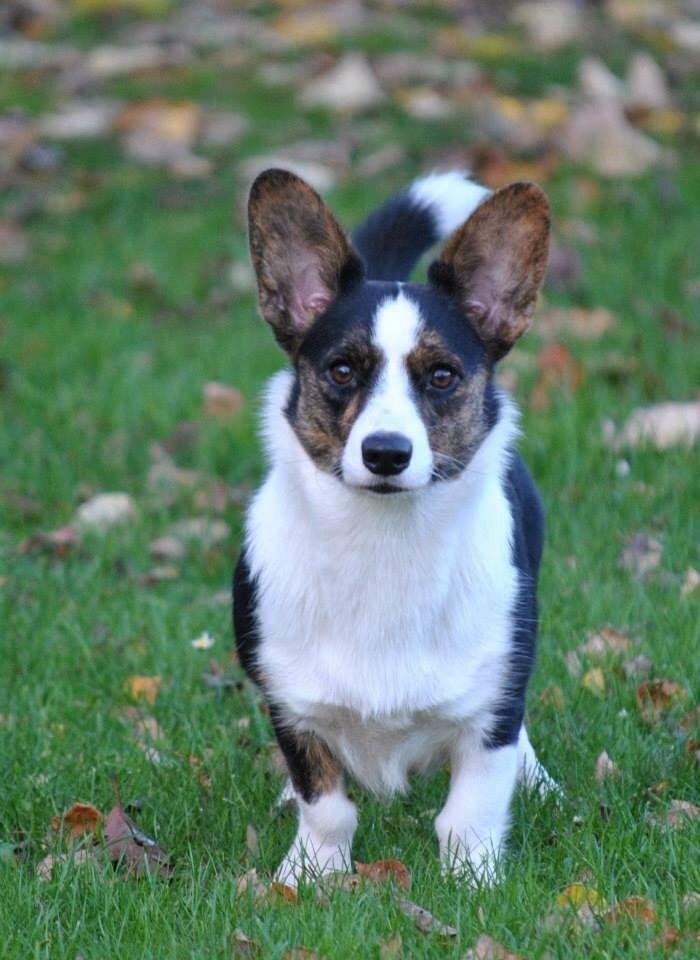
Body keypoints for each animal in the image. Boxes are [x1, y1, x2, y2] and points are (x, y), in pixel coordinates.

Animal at [235, 169, 556, 888]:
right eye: (341, 370)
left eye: (441, 376)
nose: (386, 453)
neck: (384, 545)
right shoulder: (290, 703)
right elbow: (325, 801)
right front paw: (310, 876)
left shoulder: (492, 707)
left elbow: (471, 810)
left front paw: (473, 883)